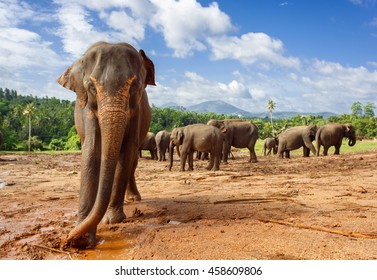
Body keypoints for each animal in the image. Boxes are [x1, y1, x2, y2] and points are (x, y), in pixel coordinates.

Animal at [56, 41, 156, 247]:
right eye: (91, 87)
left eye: (134, 86)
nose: (67, 238)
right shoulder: (86, 109)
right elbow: (91, 151)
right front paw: (83, 237)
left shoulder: (137, 112)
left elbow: (126, 153)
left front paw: (112, 220)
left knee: (132, 162)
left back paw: (133, 198)